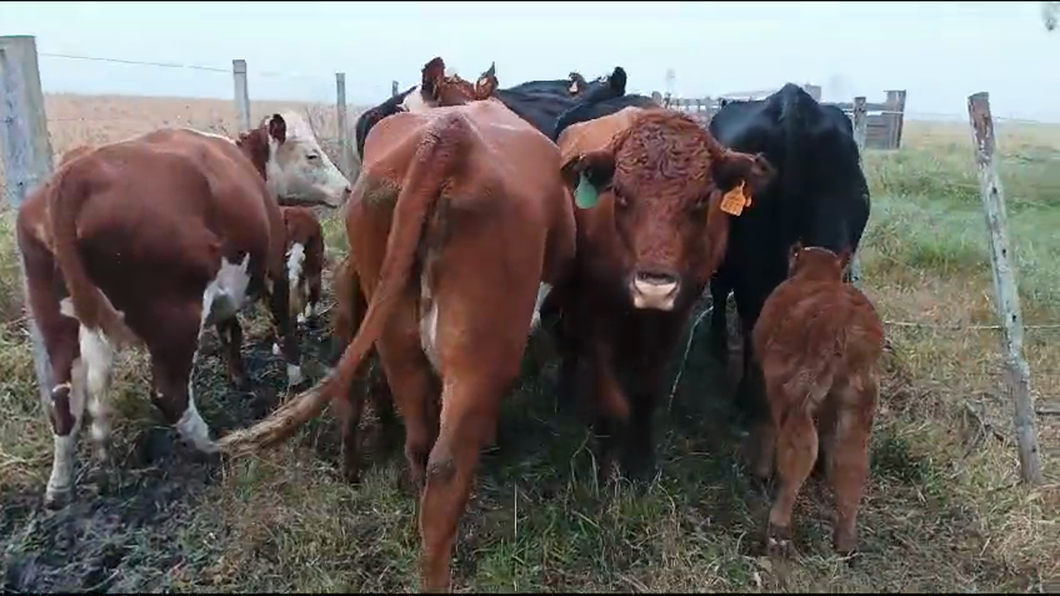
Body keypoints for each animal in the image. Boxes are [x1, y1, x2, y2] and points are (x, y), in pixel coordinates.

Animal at [551, 104, 775, 479]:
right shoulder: (596, 311)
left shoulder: (676, 315)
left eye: (702, 198)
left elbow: (646, 389)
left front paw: (641, 461)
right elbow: (608, 391)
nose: (654, 285)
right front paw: (609, 459)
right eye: (620, 193)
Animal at [746, 241, 886, 555]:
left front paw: (760, 472)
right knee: (852, 460)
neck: (815, 276)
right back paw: (845, 538)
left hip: (796, 398)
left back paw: (778, 530)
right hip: (858, 405)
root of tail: (845, 321)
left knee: (800, 452)